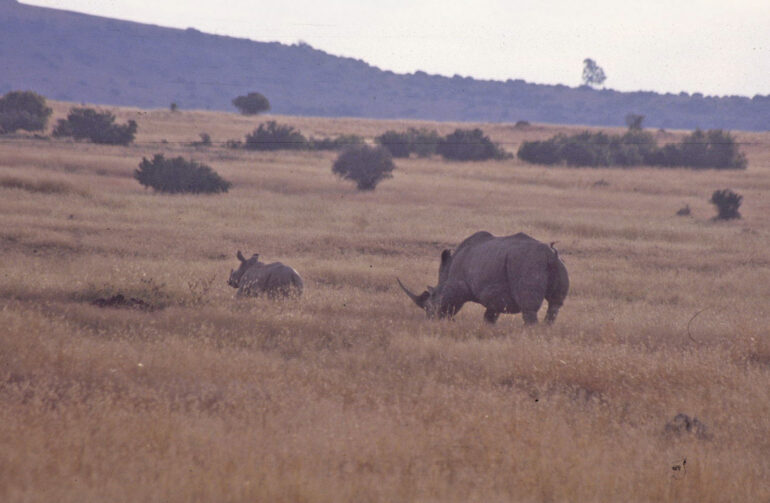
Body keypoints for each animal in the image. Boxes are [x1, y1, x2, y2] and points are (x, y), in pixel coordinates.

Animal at [397, 231, 569, 324]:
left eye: (430, 306)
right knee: (555, 304)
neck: (444, 280)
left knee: (530, 308)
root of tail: (549, 254)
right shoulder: (495, 296)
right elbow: (489, 316)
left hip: (526, 263)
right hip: (557, 264)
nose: (430, 320)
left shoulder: (457, 286)